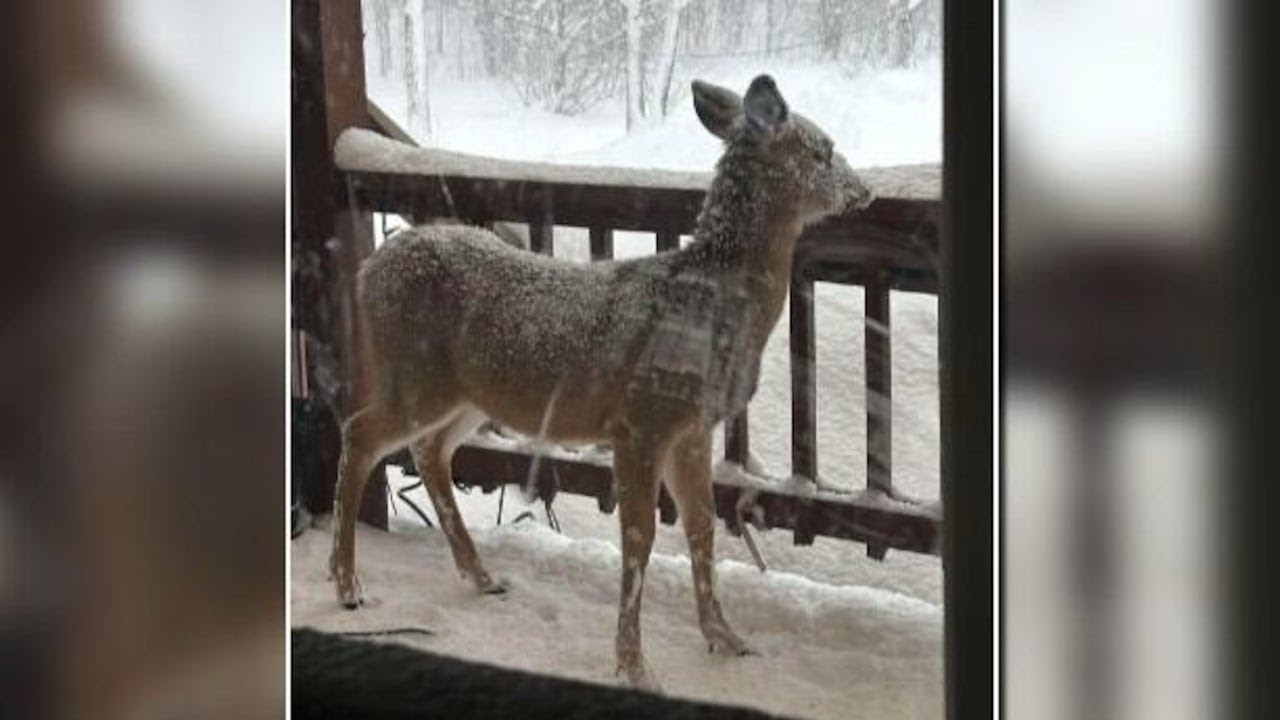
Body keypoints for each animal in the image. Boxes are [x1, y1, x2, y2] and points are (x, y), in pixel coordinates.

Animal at [328, 74, 874, 691]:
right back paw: (347, 584)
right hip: (415, 375)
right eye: (822, 150)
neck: (710, 303)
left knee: (429, 451)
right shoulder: (640, 419)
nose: (864, 190)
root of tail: (368, 271)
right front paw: (634, 666)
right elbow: (640, 539)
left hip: (466, 395)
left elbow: (702, 526)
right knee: (360, 433)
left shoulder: (693, 428)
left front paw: (726, 637)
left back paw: (481, 575)